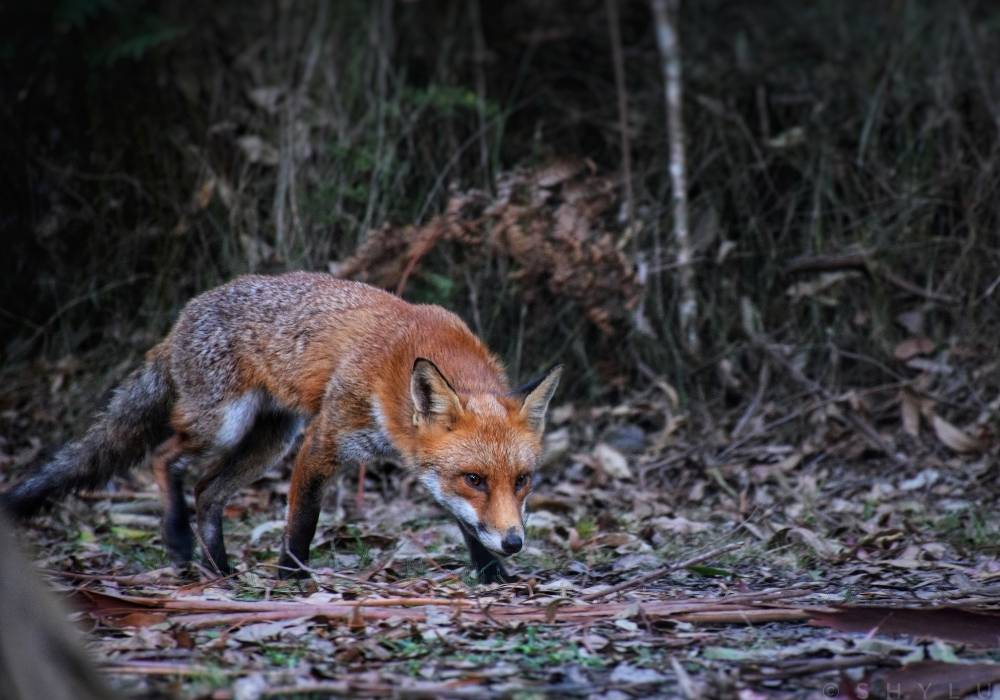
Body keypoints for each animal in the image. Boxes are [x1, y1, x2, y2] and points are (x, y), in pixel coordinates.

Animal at [1, 272, 561, 584]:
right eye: (475, 479)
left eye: (522, 481)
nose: (515, 543)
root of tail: (178, 323)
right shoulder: (323, 441)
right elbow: (301, 523)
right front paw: (291, 579)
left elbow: (467, 525)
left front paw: (492, 574)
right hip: (225, 426)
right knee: (166, 458)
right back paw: (180, 538)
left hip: (268, 442)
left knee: (207, 490)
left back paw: (219, 569)